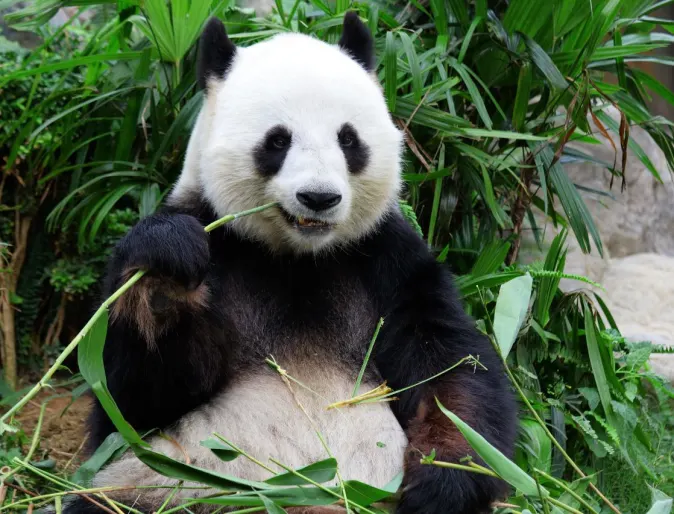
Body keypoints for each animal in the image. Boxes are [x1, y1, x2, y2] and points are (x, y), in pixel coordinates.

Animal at [64, 11, 516, 512]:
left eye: (348, 139)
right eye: (277, 140)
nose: (319, 198)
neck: (297, 258)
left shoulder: (387, 259)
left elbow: (451, 369)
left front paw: (443, 481)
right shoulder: (217, 238)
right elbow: (130, 401)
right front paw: (166, 274)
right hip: (165, 487)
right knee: (111, 499)